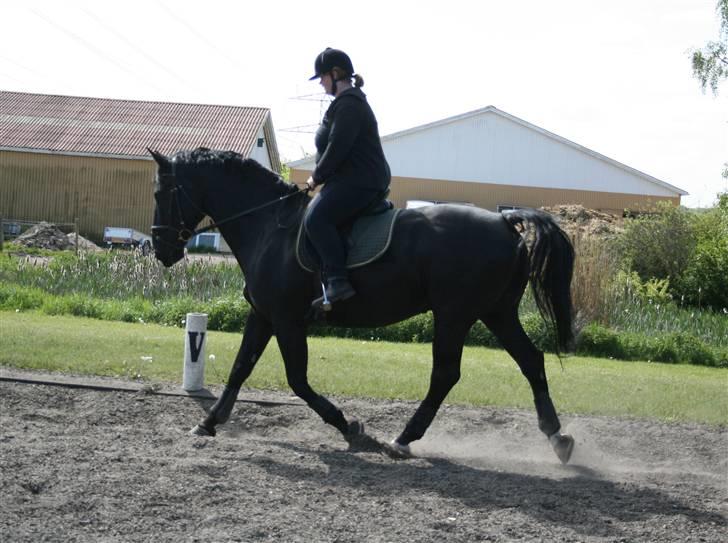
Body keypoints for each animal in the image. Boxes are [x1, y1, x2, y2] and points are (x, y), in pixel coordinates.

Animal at [151, 148, 576, 464]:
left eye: (159, 193)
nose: (160, 250)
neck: (269, 226)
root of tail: (504, 221)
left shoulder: (287, 320)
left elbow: (297, 380)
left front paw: (350, 428)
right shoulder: (264, 315)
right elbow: (241, 368)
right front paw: (208, 422)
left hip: (454, 314)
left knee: (445, 374)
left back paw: (403, 439)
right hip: (496, 312)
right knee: (531, 362)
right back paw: (558, 439)